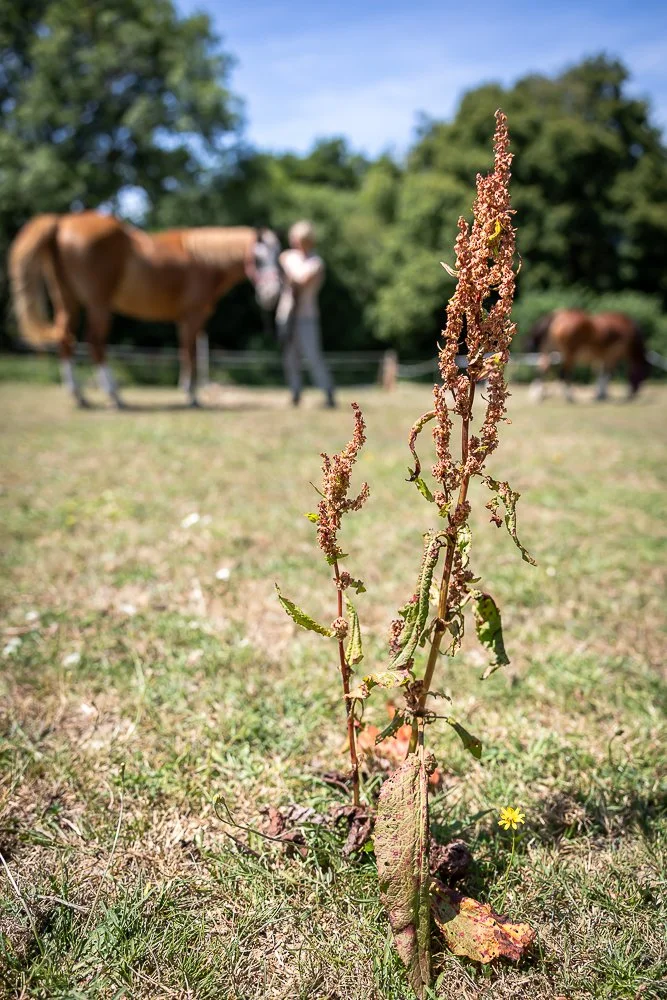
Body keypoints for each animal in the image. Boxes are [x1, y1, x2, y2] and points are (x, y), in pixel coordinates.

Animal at [8, 211, 283, 407]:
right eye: (258, 259)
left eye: (279, 257)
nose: (272, 294)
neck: (205, 261)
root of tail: (62, 222)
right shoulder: (193, 314)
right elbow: (191, 352)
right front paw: (191, 395)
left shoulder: (184, 318)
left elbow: (186, 351)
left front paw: (188, 391)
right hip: (98, 302)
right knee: (95, 342)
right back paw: (114, 395)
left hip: (67, 299)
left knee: (66, 339)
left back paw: (80, 395)